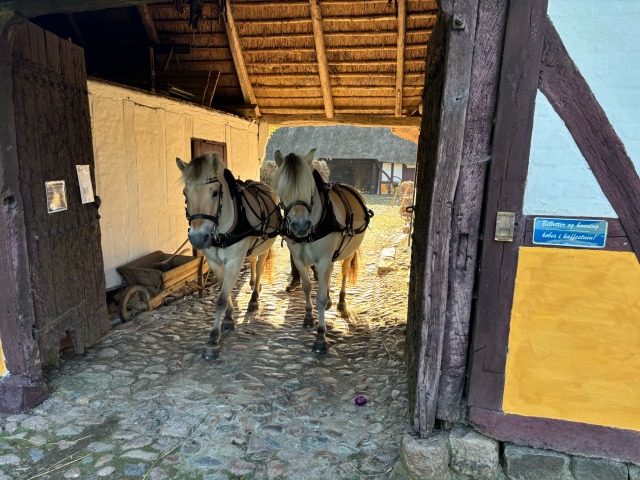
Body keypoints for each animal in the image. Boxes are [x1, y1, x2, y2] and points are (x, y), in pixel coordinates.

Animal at [179, 155, 282, 360]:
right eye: (186, 193)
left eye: (214, 193)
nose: (197, 238)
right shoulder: (214, 263)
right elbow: (224, 293)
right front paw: (228, 318)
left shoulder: (233, 262)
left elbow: (220, 299)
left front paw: (213, 339)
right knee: (252, 261)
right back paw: (252, 284)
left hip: (265, 247)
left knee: (259, 268)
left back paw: (254, 298)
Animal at [272, 149, 372, 352]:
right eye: (281, 189)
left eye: (310, 188)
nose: (300, 226)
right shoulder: (300, 260)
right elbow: (307, 287)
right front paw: (309, 317)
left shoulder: (324, 259)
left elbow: (319, 298)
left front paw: (320, 337)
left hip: (348, 252)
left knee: (343, 272)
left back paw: (341, 302)